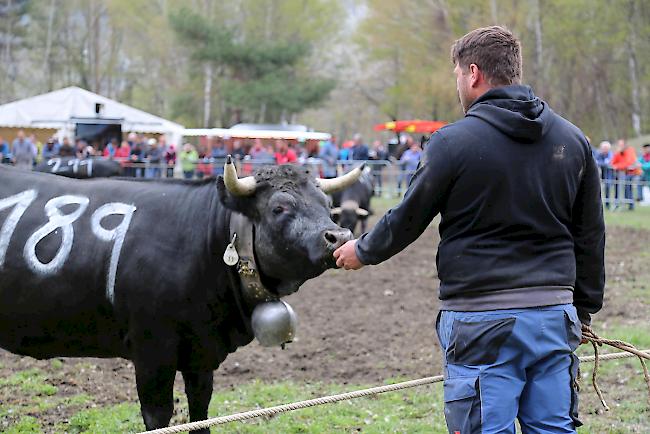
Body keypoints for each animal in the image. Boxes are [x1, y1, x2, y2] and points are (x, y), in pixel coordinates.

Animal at [0, 163, 354, 430]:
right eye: (279, 207)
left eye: (327, 205)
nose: (339, 236)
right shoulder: (152, 348)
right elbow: (158, 416)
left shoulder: (201, 352)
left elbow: (200, 410)